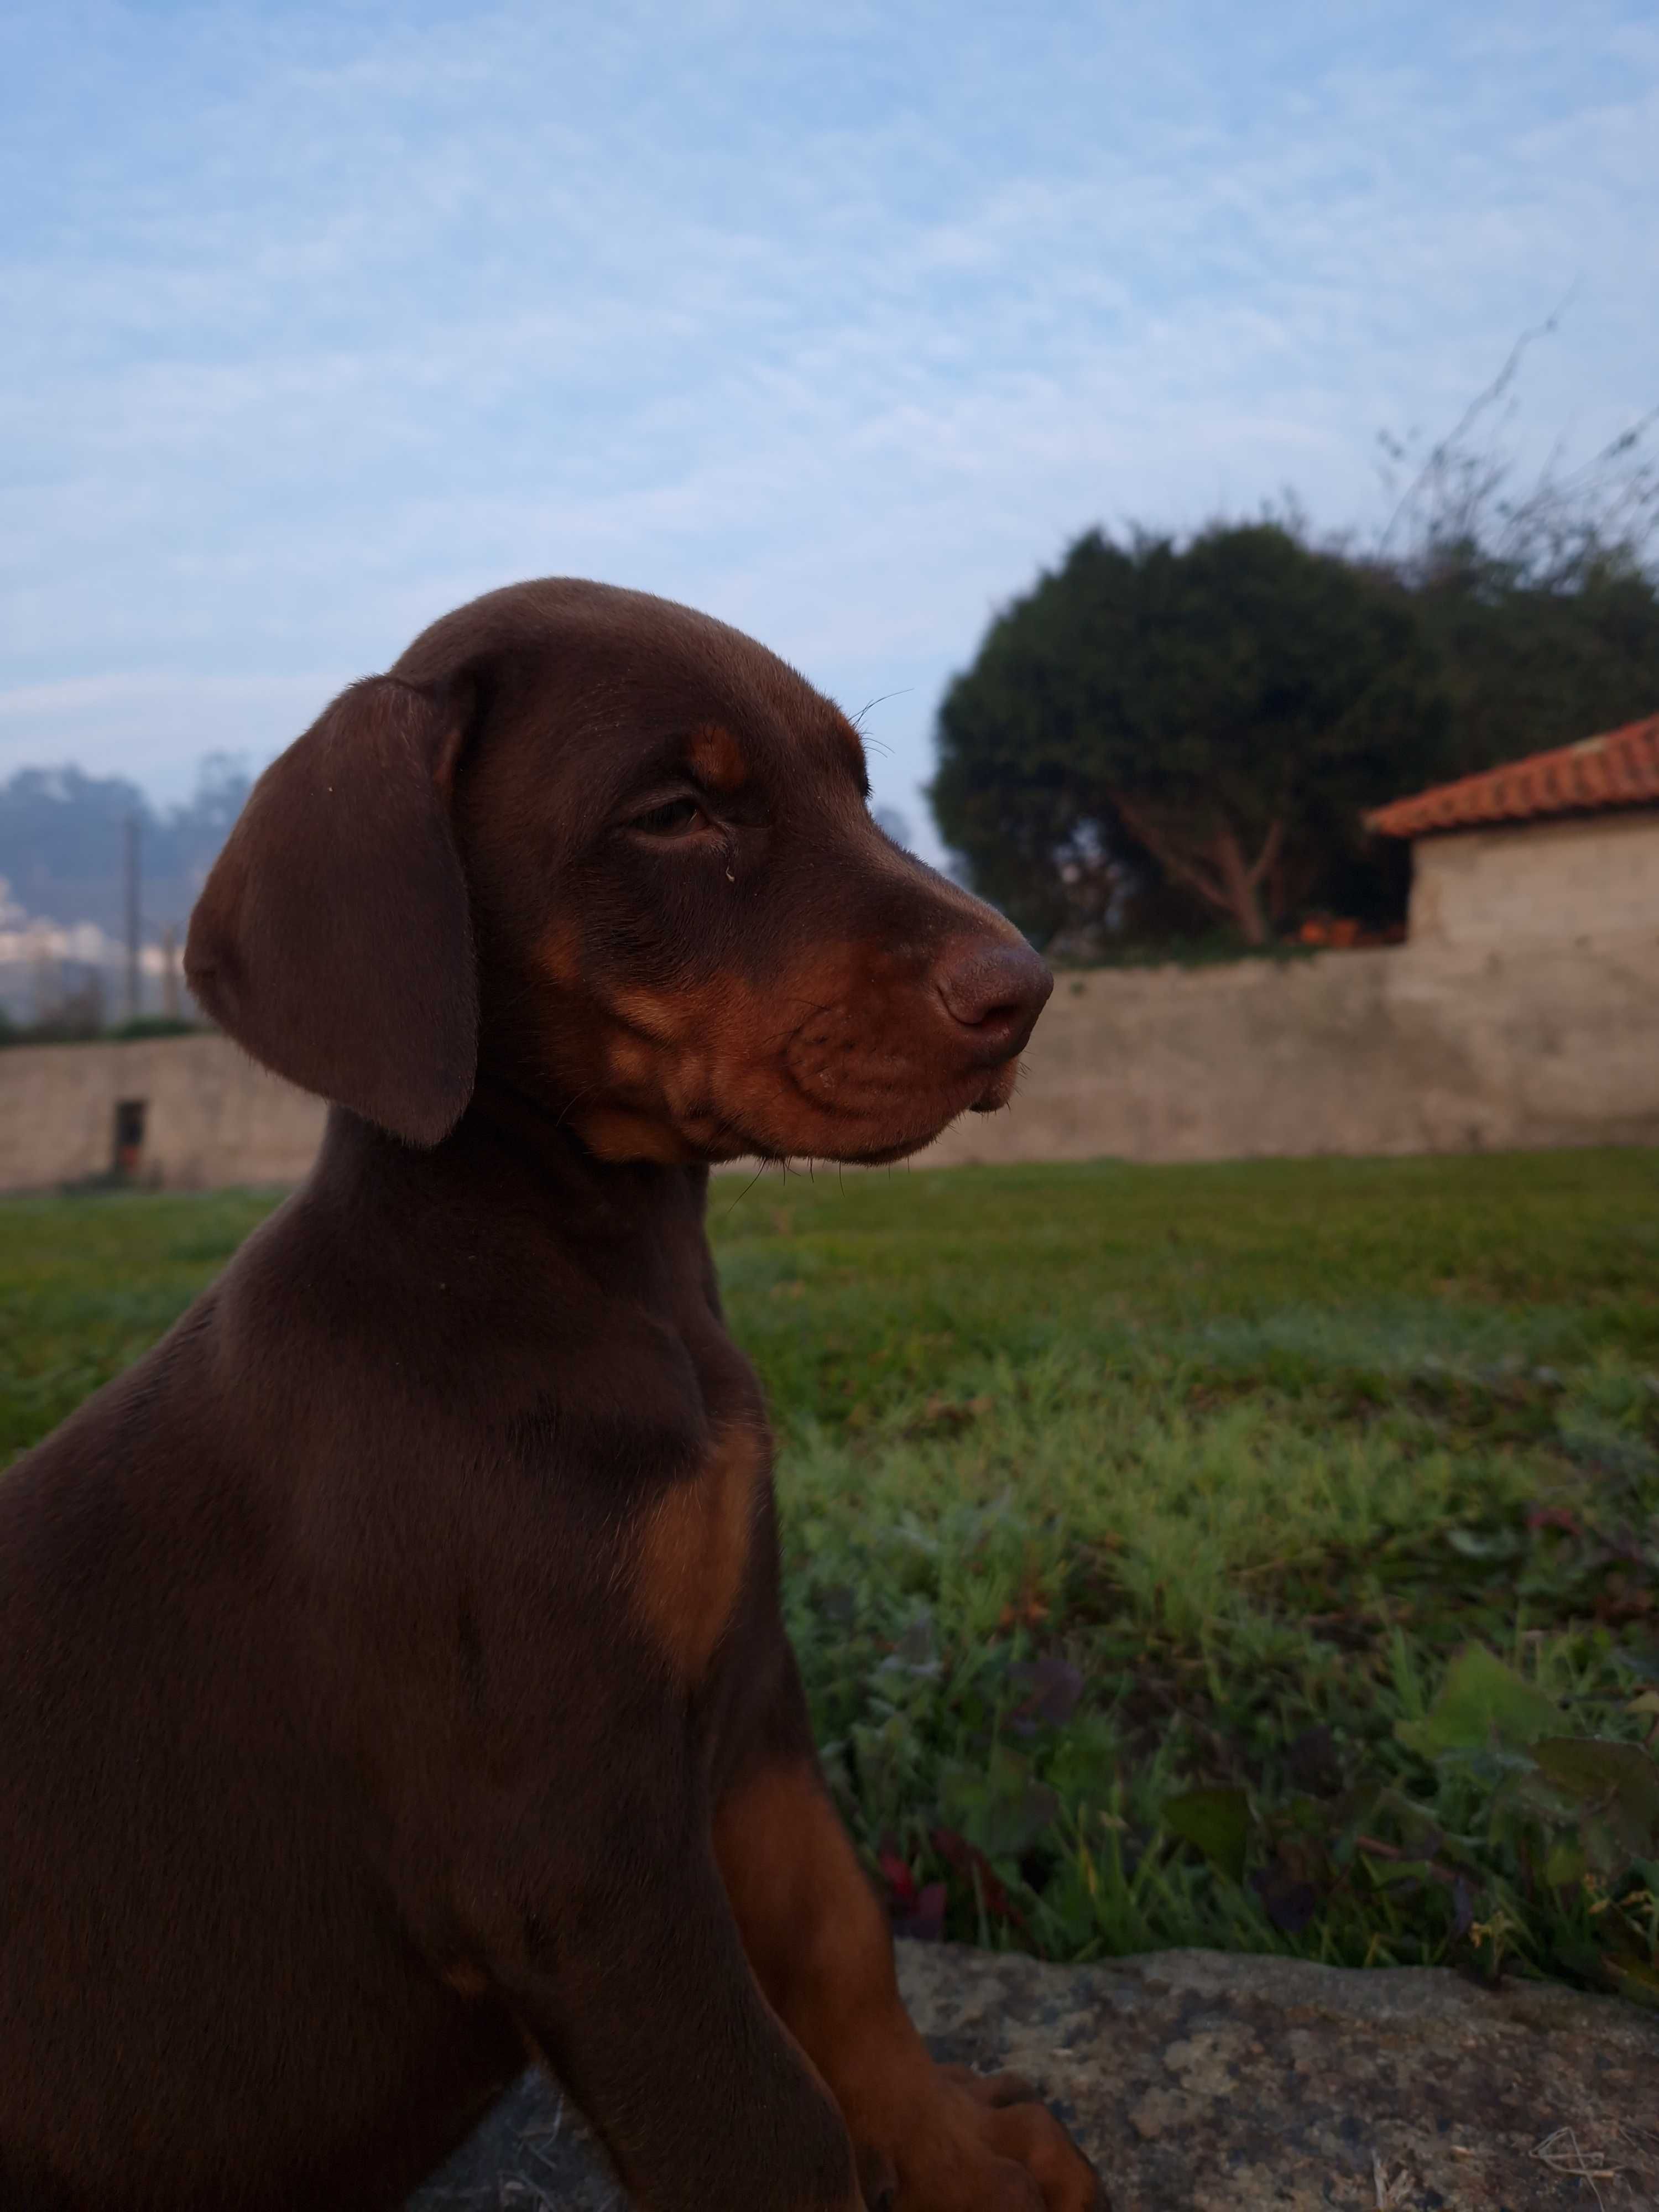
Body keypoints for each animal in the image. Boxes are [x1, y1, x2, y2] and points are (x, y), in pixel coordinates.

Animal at [3, 580, 1119, 2203]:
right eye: (672, 813)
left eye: (853, 786)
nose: (1024, 993)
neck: (596, 1271)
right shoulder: (574, 1859)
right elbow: (765, 2123)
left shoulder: (747, 1702)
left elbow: (844, 1949)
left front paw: (959, 2160)